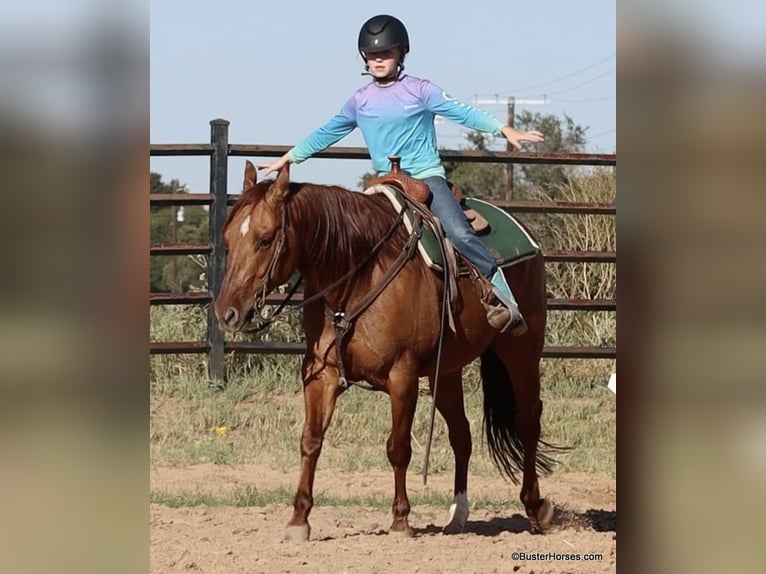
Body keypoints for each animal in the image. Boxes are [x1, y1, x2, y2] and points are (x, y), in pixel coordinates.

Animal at [214, 162, 560, 544]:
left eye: (265, 239)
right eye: (228, 239)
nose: (226, 313)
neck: (357, 275)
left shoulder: (402, 376)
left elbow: (398, 448)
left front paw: (400, 520)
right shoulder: (320, 373)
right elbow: (311, 441)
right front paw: (298, 520)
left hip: (522, 352)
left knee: (528, 421)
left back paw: (536, 507)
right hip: (446, 371)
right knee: (462, 434)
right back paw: (457, 514)